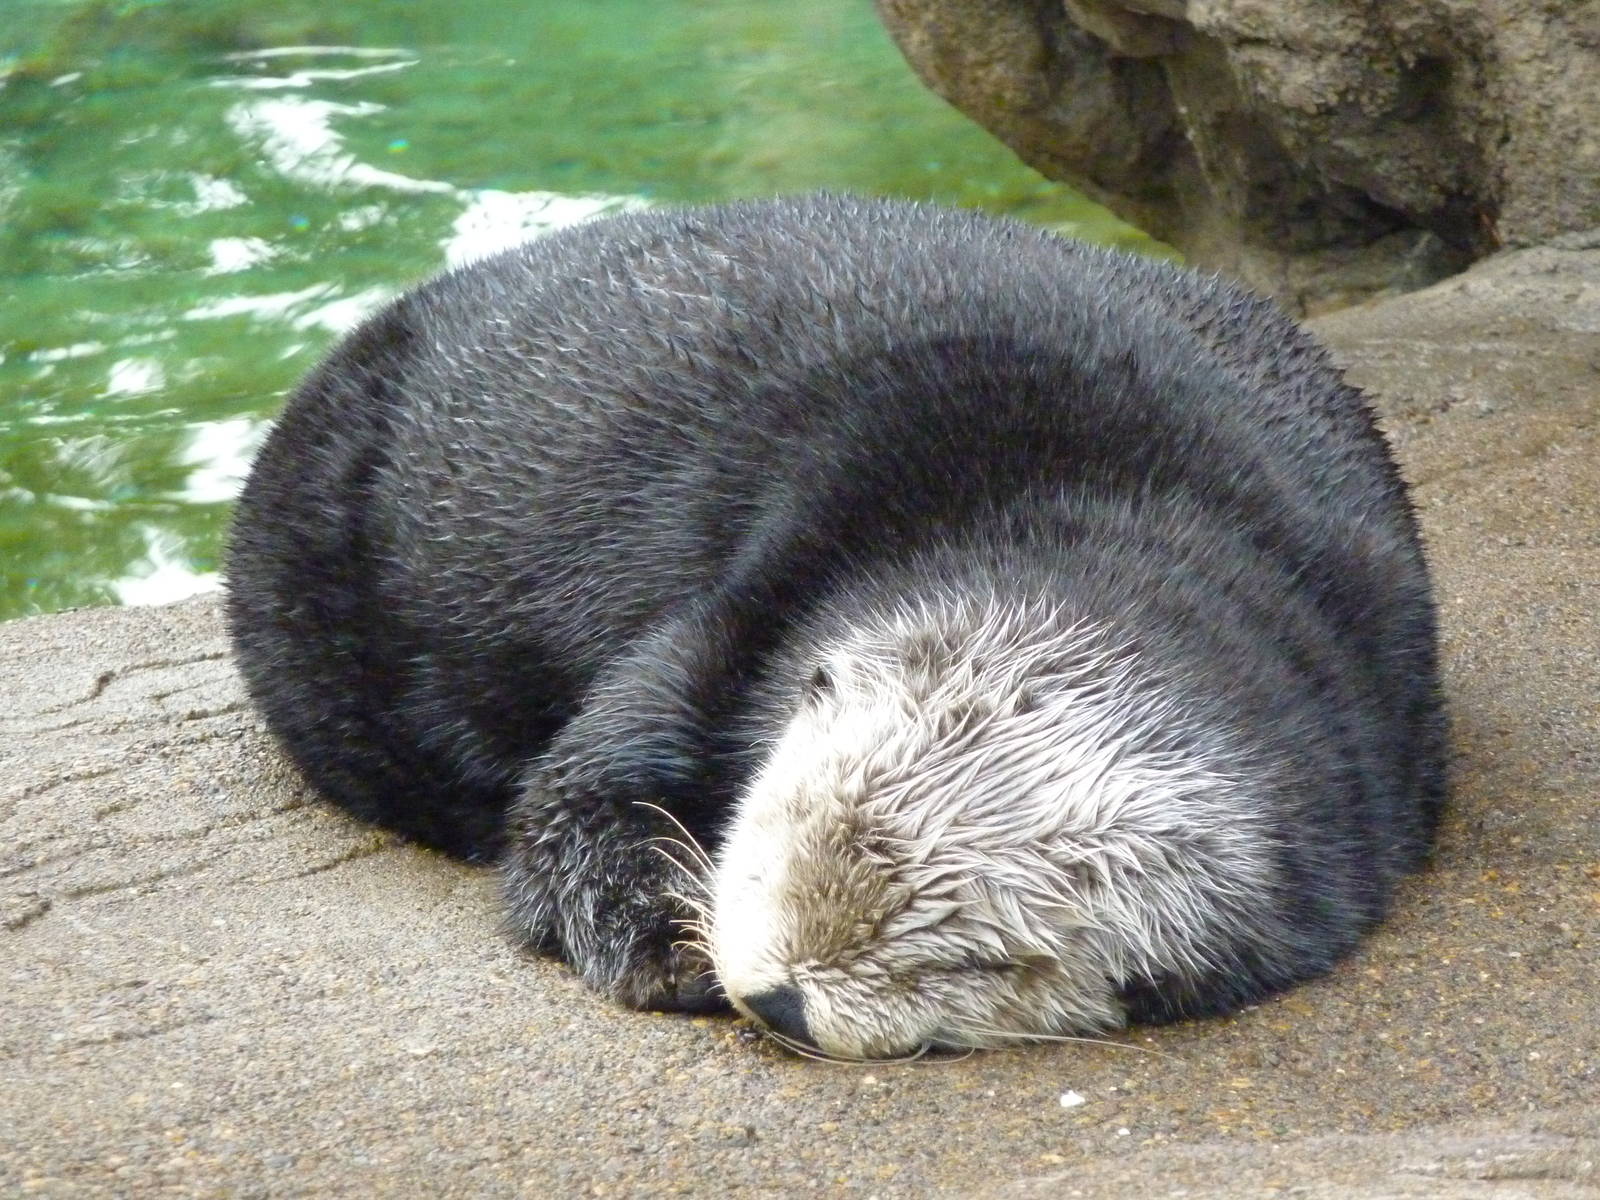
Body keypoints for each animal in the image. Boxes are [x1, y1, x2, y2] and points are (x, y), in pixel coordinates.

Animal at [226, 193, 1445, 1060]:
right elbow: (583, 786)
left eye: (987, 959)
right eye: (807, 822)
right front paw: (665, 939)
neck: (1136, 518)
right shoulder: (766, 586)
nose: (778, 998)